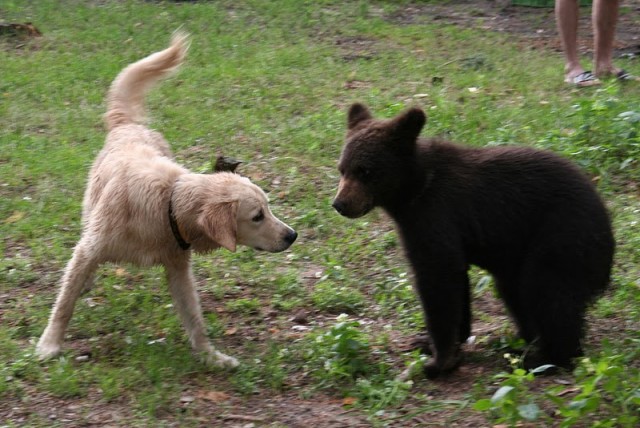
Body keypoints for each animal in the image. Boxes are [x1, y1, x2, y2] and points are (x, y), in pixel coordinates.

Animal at [38, 32, 298, 368]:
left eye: (268, 208)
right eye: (257, 216)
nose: (292, 235)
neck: (167, 205)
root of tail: (127, 124)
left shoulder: (178, 270)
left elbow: (194, 318)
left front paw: (211, 356)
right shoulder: (90, 248)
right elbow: (63, 305)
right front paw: (49, 344)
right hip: (89, 219)